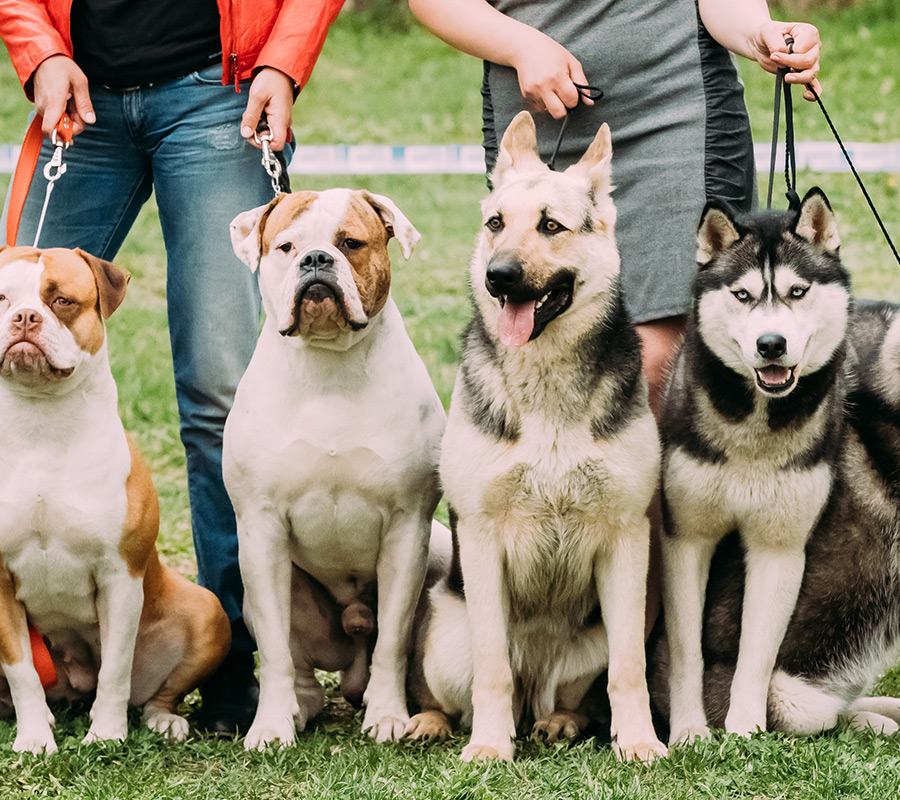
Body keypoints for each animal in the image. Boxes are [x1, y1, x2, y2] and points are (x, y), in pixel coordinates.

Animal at [404, 112, 664, 764]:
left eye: (551, 226)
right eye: (495, 223)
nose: (498, 277)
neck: (546, 380)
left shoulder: (627, 541)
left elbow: (630, 669)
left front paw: (639, 741)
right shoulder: (481, 538)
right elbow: (493, 666)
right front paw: (489, 748)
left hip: (590, 643)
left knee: (575, 695)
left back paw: (562, 721)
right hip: (445, 633)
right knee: (462, 689)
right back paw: (434, 722)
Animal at [656, 189, 856, 744]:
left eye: (797, 291)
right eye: (743, 295)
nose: (771, 344)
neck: (755, 430)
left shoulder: (780, 548)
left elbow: (757, 656)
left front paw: (745, 730)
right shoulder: (685, 539)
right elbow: (687, 650)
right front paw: (689, 732)